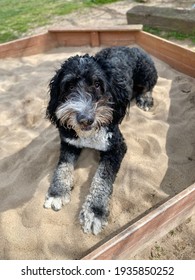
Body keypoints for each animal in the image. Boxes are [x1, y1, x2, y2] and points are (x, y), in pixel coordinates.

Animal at [43, 47, 158, 235]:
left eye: (97, 84)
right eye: (69, 86)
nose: (85, 119)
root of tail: (132, 47)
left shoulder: (117, 146)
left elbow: (102, 176)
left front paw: (95, 210)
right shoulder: (69, 142)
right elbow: (62, 166)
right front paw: (57, 192)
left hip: (147, 72)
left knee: (149, 86)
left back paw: (145, 99)